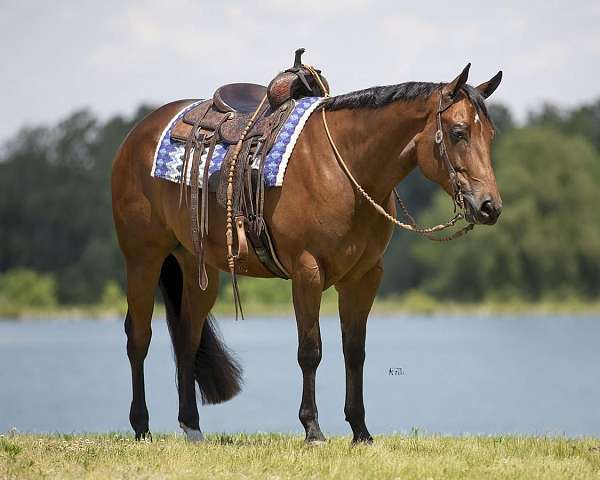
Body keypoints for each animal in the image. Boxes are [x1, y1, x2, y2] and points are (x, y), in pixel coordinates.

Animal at [111, 62, 502, 442]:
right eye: (458, 132)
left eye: (490, 135)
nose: (489, 207)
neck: (345, 168)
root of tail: (138, 134)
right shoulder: (307, 271)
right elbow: (310, 351)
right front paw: (312, 429)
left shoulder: (364, 277)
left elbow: (354, 351)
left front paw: (360, 430)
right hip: (143, 258)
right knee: (139, 337)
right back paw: (141, 426)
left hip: (195, 267)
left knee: (187, 338)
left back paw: (192, 427)